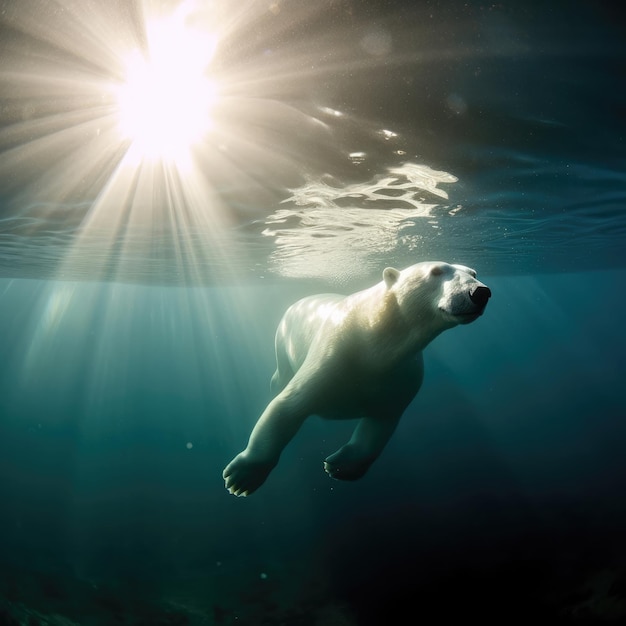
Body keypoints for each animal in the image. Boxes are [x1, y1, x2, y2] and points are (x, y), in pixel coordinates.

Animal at [222, 258, 490, 492]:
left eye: (473, 272)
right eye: (436, 271)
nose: (480, 292)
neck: (375, 337)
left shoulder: (402, 376)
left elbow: (379, 426)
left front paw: (338, 466)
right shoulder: (334, 353)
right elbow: (287, 407)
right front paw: (242, 477)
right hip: (282, 339)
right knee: (282, 374)